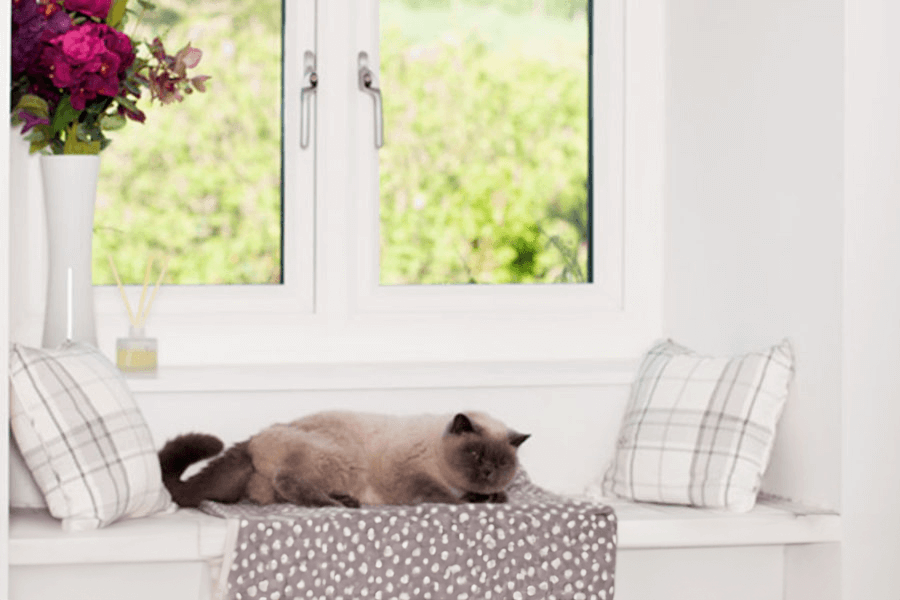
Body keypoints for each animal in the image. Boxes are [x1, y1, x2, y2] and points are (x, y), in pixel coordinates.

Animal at [159, 412, 532, 506]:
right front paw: (466, 501)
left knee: (277, 491)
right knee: (286, 482)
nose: (488, 472)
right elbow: (437, 493)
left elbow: (496, 495)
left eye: (502, 464)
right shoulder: (409, 473)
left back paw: (344, 500)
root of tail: (254, 439)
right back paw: (334, 504)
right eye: (476, 454)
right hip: (339, 458)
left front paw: (493, 496)